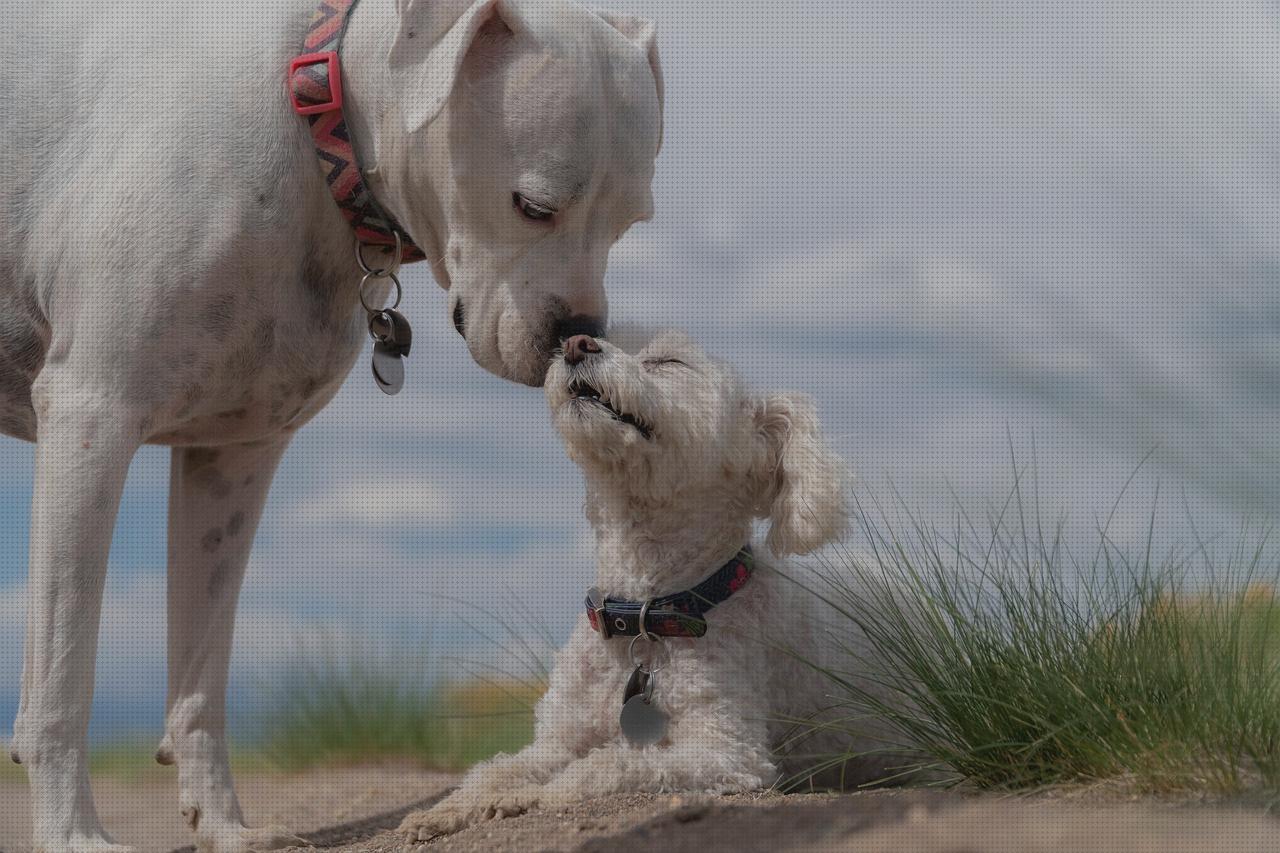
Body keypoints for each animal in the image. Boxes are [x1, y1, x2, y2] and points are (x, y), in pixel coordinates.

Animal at [0, 0, 660, 845]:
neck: (315, 123)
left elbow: (201, 674)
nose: (579, 334)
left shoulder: (234, 457)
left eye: (631, 223)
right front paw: (72, 835)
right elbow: (62, 674)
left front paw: (225, 826)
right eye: (533, 206)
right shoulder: (92, 420)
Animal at [401, 330, 901, 835]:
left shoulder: (727, 751)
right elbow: (498, 768)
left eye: (667, 361)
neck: (645, 612)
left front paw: (531, 795)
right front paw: (448, 808)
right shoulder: (557, 739)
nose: (576, 342)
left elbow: (604, 765)